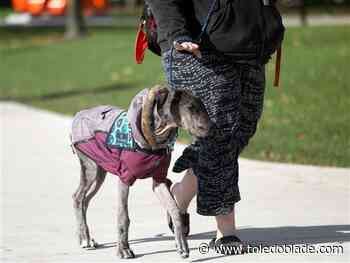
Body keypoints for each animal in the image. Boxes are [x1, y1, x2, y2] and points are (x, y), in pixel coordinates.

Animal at [69, 86, 209, 260]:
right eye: (190, 107)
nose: (210, 128)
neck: (156, 138)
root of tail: (79, 114)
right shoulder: (124, 179)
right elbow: (123, 216)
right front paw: (123, 250)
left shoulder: (159, 180)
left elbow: (175, 210)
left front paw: (182, 244)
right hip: (91, 168)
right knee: (78, 197)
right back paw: (84, 238)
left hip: (100, 172)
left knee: (85, 200)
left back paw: (86, 237)